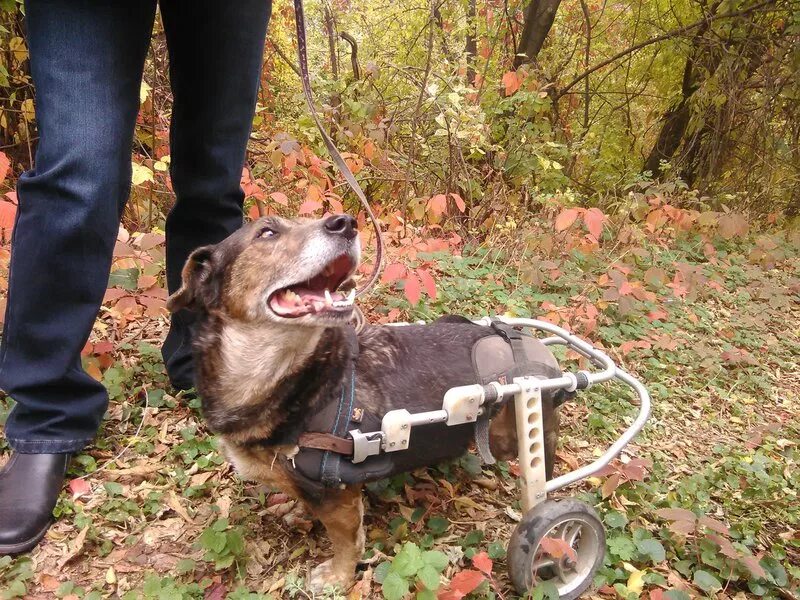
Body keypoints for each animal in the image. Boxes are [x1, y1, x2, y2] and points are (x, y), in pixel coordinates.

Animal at [166, 214, 560, 592]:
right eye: (266, 233)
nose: (345, 222)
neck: (290, 376)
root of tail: (534, 345)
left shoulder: (339, 496)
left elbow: (347, 542)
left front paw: (338, 577)